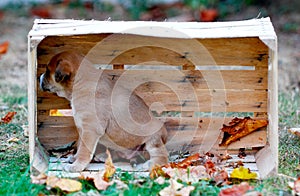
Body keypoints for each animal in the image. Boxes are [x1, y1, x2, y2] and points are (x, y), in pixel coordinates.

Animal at [39, 50, 169, 172]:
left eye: (47, 70)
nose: (39, 77)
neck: (81, 82)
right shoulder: (82, 128)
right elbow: (81, 146)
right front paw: (75, 158)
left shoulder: (90, 129)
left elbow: (84, 150)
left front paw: (77, 165)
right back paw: (102, 157)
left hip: (153, 140)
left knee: (163, 157)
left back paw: (149, 164)